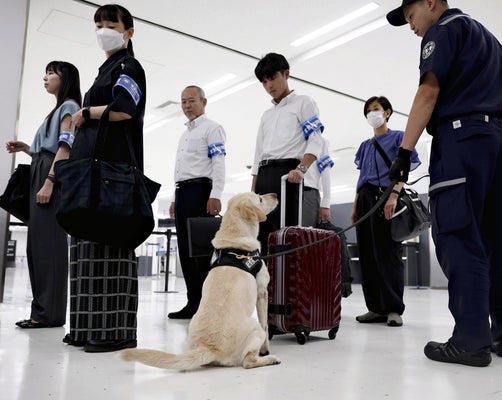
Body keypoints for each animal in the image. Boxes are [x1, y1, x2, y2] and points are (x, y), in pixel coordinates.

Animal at [121, 192, 278, 370]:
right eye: (260, 199)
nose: (275, 194)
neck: (235, 238)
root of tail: (208, 347)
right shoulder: (262, 292)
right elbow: (266, 324)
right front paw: (265, 349)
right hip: (254, 328)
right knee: (248, 361)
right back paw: (270, 359)